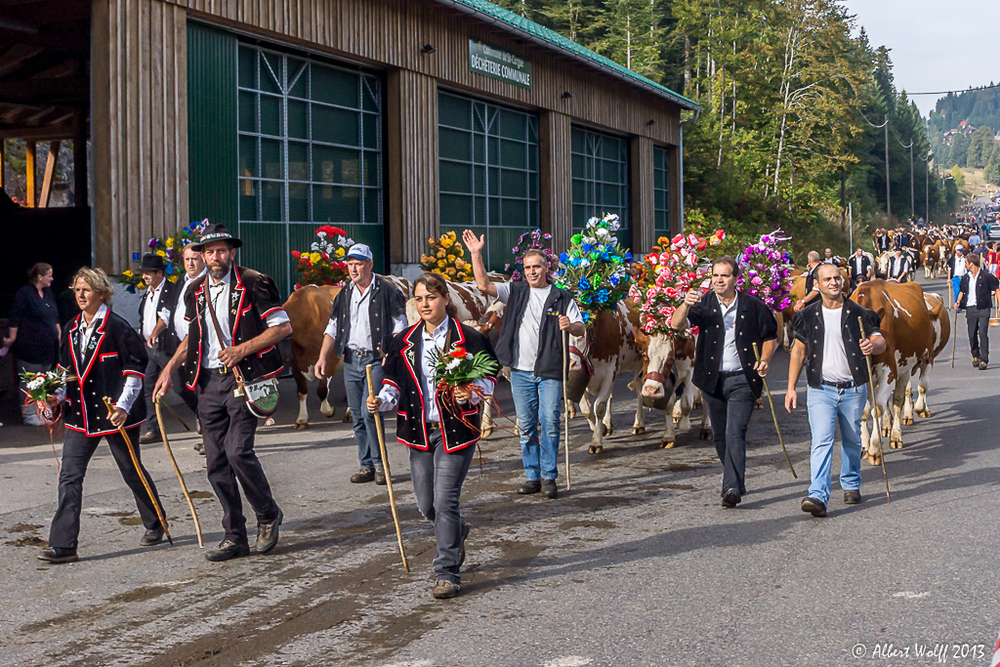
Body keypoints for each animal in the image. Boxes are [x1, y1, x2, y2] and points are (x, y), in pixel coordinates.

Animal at [852, 280, 936, 462]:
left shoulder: (888, 373)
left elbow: (877, 408)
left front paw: (874, 449)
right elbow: (863, 411)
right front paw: (864, 446)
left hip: (912, 364)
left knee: (899, 400)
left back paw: (896, 436)